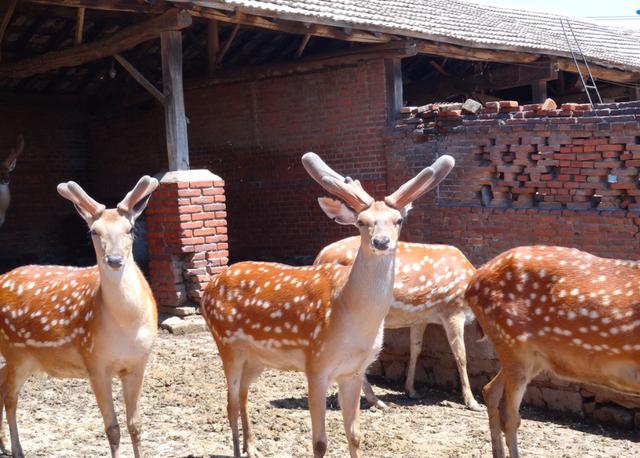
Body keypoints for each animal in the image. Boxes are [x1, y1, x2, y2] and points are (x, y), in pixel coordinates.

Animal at [0, 175, 159, 458]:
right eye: (94, 231)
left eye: (130, 229)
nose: (115, 260)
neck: (126, 328)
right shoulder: (95, 363)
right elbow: (113, 429)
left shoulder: (138, 363)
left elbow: (136, 425)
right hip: (15, 351)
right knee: (10, 396)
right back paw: (17, 449)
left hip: (23, 358)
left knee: (0, 384)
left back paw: (5, 445)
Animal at [200, 152, 456, 456]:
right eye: (361, 222)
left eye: (398, 220)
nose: (381, 242)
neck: (348, 314)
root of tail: (208, 288)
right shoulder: (316, 365)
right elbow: (320, 442)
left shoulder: (353, 371)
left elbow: (355, 435)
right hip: (226, 344)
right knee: (229, 402)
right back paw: (239, 449)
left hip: (257, 357)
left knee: (242, 395)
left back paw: (253, 447)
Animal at [316, 238, 480, 410]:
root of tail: (320, 257)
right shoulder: (452, 309)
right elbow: (460, 354)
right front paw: (471, 401)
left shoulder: (421, 317)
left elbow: (416, 349)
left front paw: (411, 390)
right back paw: (376, 401)